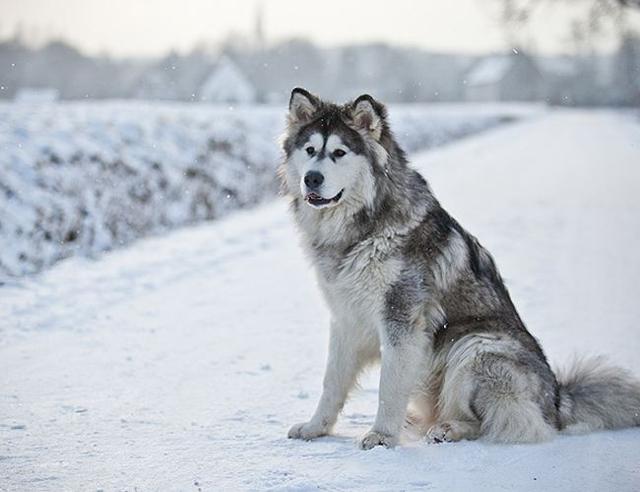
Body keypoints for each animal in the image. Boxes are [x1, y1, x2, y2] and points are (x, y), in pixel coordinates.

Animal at [278, 88, 640, 450]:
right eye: (310, 151)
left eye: (339, 153)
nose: (312, 178)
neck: (362, 228)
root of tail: (557, 401)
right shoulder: (346, 319)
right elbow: (332, 383)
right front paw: (316, 427)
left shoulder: (402, 319)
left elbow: (389, 386)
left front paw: (381, 436)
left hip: (476, 346)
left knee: (498, 422)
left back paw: (448, 429)